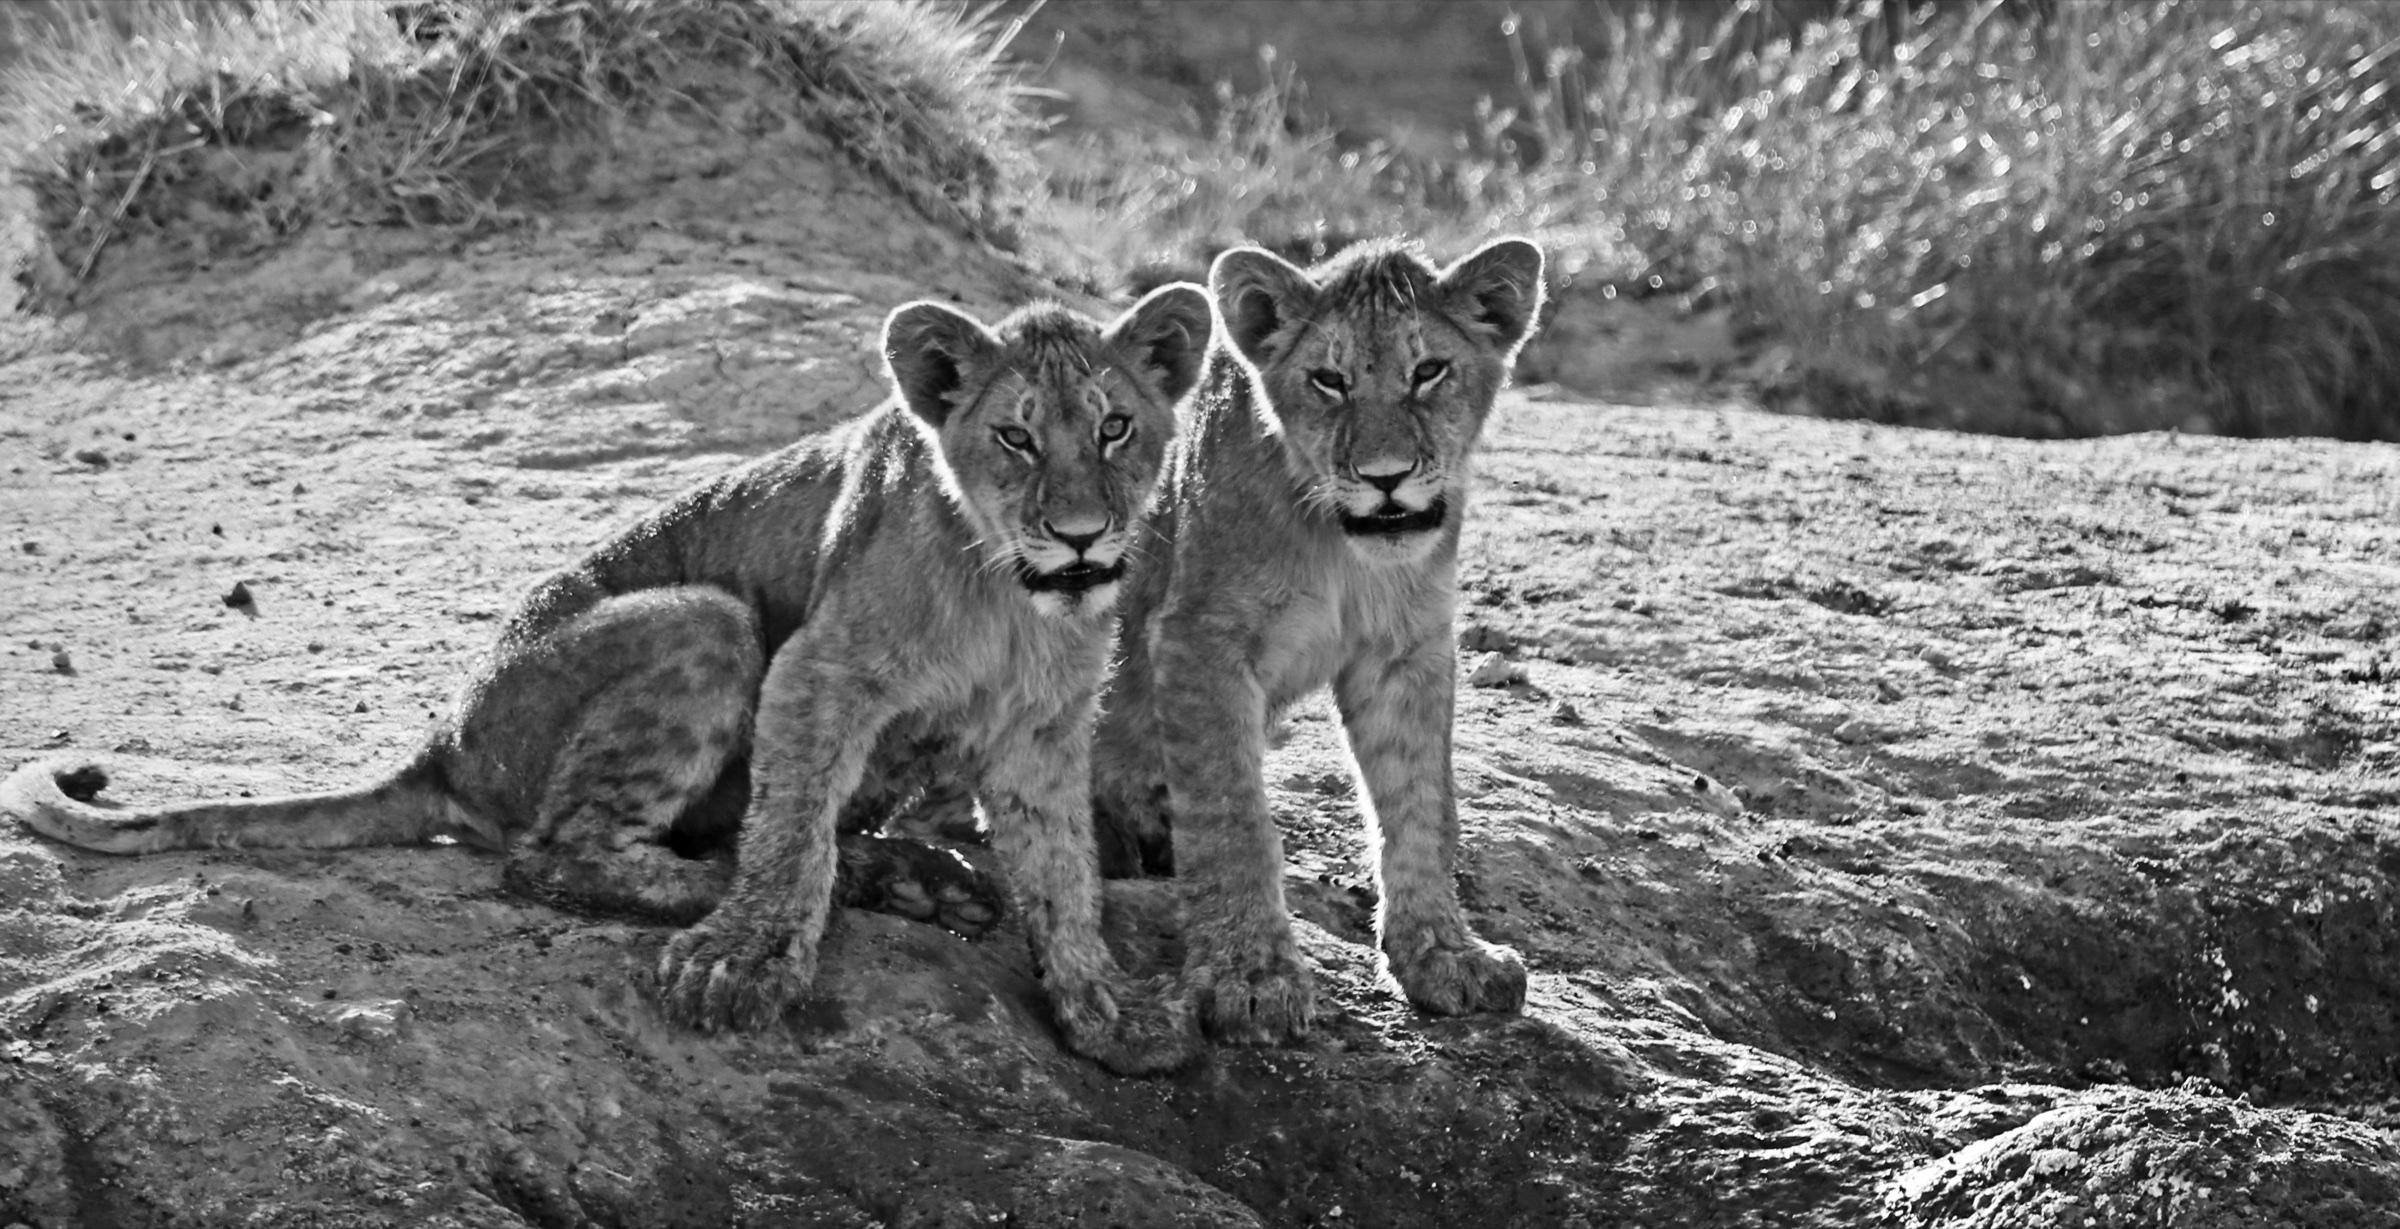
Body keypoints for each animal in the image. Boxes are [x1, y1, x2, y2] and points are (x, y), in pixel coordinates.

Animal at [3, 287, 1214, 1075]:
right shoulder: (817, 667)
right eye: (1015, 436)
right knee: (559, 855)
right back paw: (789, 886)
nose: (1082, 534)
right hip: (707, 617)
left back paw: (917, 876)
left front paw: (1106, 1009)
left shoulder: (1045, 730)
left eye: (1117, 426)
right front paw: (743, 963)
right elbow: (790, 837)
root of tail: (446, 738)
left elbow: (1064, 874)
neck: (1014, 595)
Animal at [1090, 237, 1547, 1043]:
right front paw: (1250, 977)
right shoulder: (1197, 636)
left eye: (1428, 372)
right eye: (1329, 381)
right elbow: (1234, 814)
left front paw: (1444, 954)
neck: (1345, 549)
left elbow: (1423, 805)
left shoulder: (1409, 647)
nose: (1387, 479)